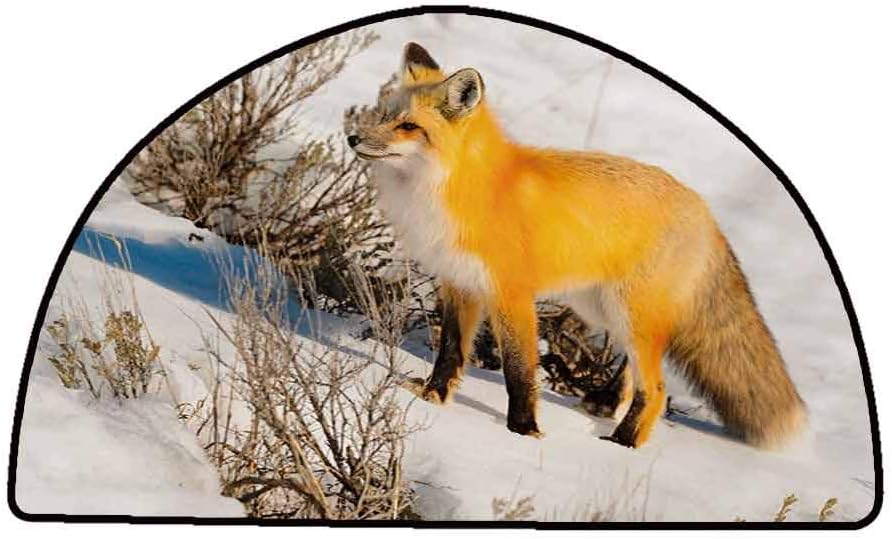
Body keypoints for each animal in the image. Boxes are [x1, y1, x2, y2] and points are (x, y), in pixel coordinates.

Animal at [347, 42, 806, 449]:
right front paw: (434, 397)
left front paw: (523, 432)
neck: (457, 188)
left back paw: (622, 444)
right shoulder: (458, 282)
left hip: (629, 313)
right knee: (636, 376)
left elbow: (519, 373)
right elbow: (450, 352)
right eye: (384, 114)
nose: (352, 138)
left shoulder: (512, 296)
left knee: (657, 390)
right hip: (602, 309)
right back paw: (607, 404)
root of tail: (706, 211)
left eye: (409, 126)